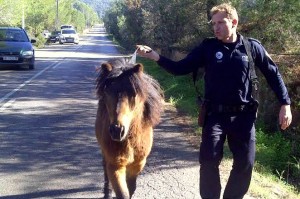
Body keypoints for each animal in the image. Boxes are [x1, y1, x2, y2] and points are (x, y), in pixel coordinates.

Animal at [95, 58, 164, 198]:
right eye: (107, 92)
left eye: (134, 93)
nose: (117, 130)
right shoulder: (115, 165)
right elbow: (123, 193)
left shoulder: (138, 164)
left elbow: (131, 188)